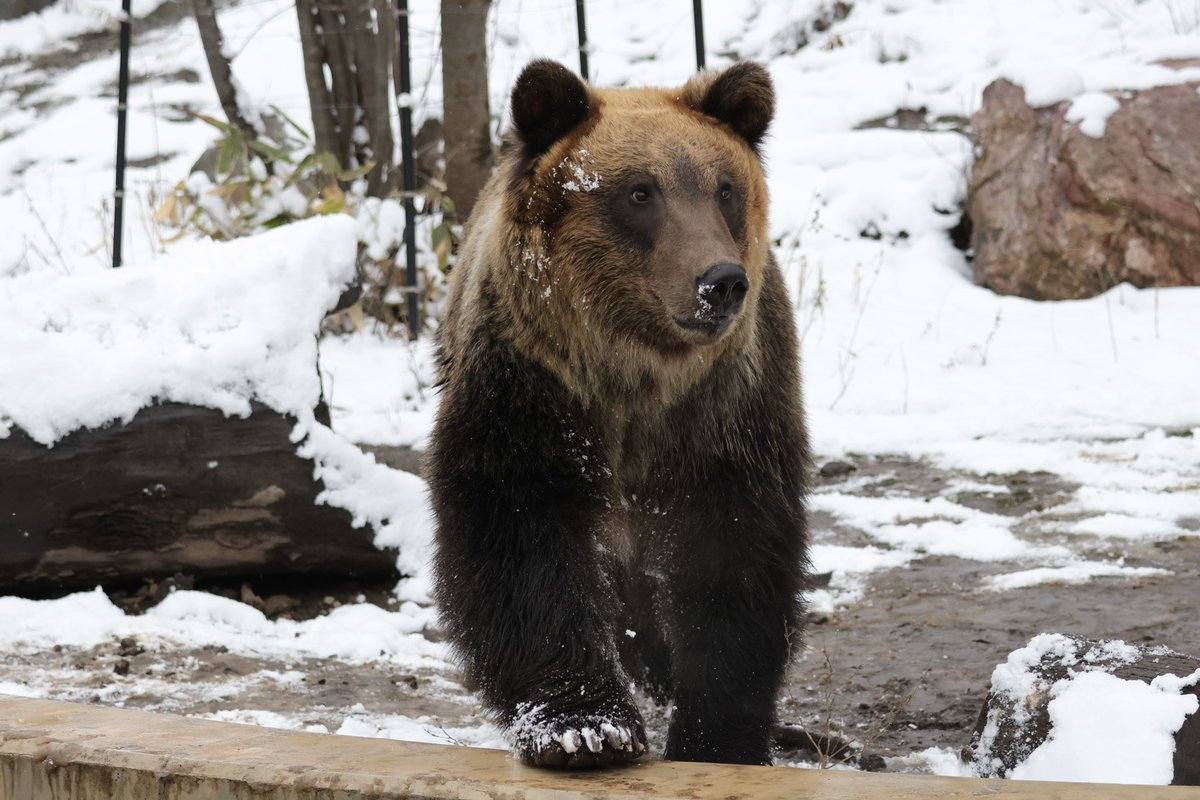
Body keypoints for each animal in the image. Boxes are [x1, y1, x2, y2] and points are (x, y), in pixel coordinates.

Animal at [426, 59, 809, 769]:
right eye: (640, 192)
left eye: (724, 189)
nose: (720, 281)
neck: (634, 376)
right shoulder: (531, 389)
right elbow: (521, 540)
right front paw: (583, 727)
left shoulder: (723, 413)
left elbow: (734, 558)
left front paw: (717, 736)